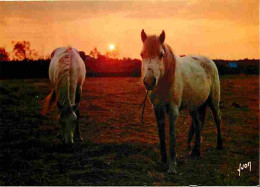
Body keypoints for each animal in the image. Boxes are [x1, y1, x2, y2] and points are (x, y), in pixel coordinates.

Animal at [140, 29, 223, 174]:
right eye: (142, 54)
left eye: (161, 55)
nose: (149, 82)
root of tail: (209, 61)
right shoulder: (157, 108)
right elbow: (161, 134)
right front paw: (164, 160)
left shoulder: (173, 110)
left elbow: (172, 135)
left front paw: (172, 166)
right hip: (194, 106)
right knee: (197, 124)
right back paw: (195, 152)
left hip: (213, 101)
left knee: (217, 118)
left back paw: (219, 144)